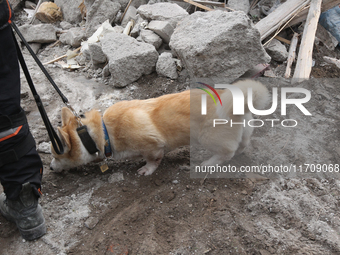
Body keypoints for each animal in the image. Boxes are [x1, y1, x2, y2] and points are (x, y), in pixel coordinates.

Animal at [49, 80, 268, 175]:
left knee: (226, 153)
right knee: (241, 145)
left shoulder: (152, 147)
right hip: (242, 131)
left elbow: (153, 160)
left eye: (57, 155)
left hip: (207, 138)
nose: (49, 168)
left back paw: (207, 163)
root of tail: (239, 104)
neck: (103, 133)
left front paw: (146, 170)